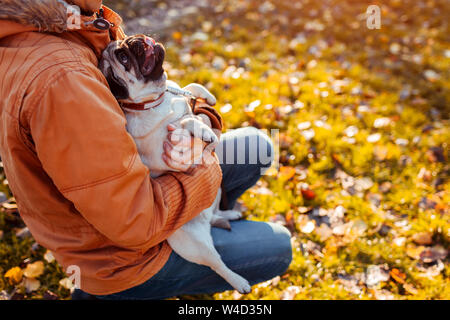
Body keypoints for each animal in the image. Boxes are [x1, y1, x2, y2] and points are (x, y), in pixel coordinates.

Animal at [100, 34, 251, 292]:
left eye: (124, 44)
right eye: (123, 58)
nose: (135, 39)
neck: (157, 100)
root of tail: (205, 222)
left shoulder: (178, 93)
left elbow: (188, 87)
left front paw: (207, 96)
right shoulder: (164, 146)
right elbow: (184, 122)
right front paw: (203, 130)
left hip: (216, 194)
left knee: (216, 213)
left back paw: (230, 215)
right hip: (196, 247)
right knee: (217, 263)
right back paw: (239, 281)